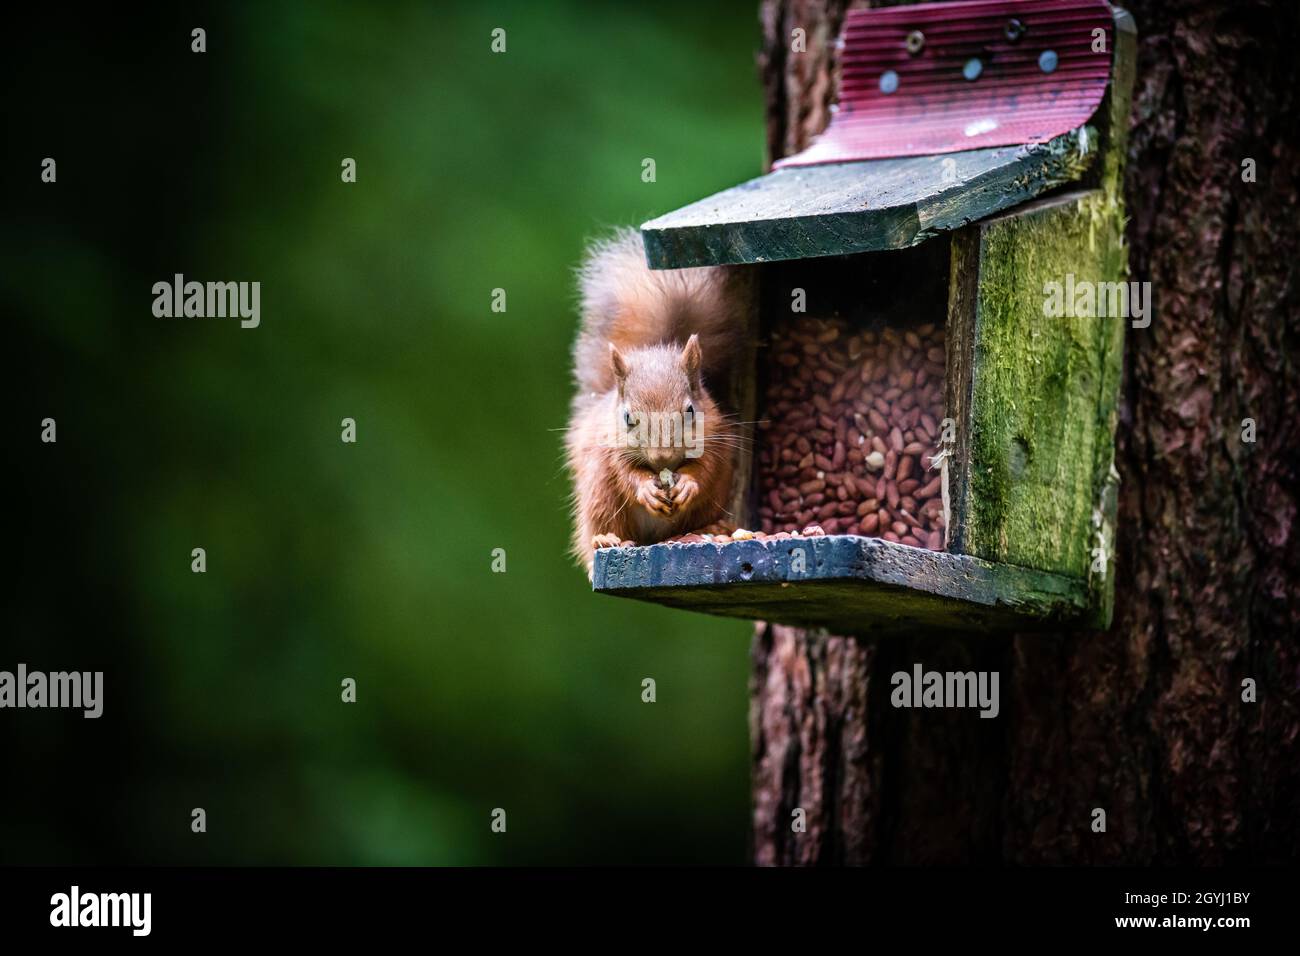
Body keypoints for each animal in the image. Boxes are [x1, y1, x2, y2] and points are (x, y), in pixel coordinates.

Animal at [566, 228, 748, 576]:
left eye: (690, 411)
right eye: (627, 418)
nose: (662, 457)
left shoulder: (715, 435)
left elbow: (705, 467)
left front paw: (688, 483)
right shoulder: (610, 446)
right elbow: (625, 472)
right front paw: (645, 489)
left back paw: (714, 528)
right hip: (599, 495)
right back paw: (603, 542)